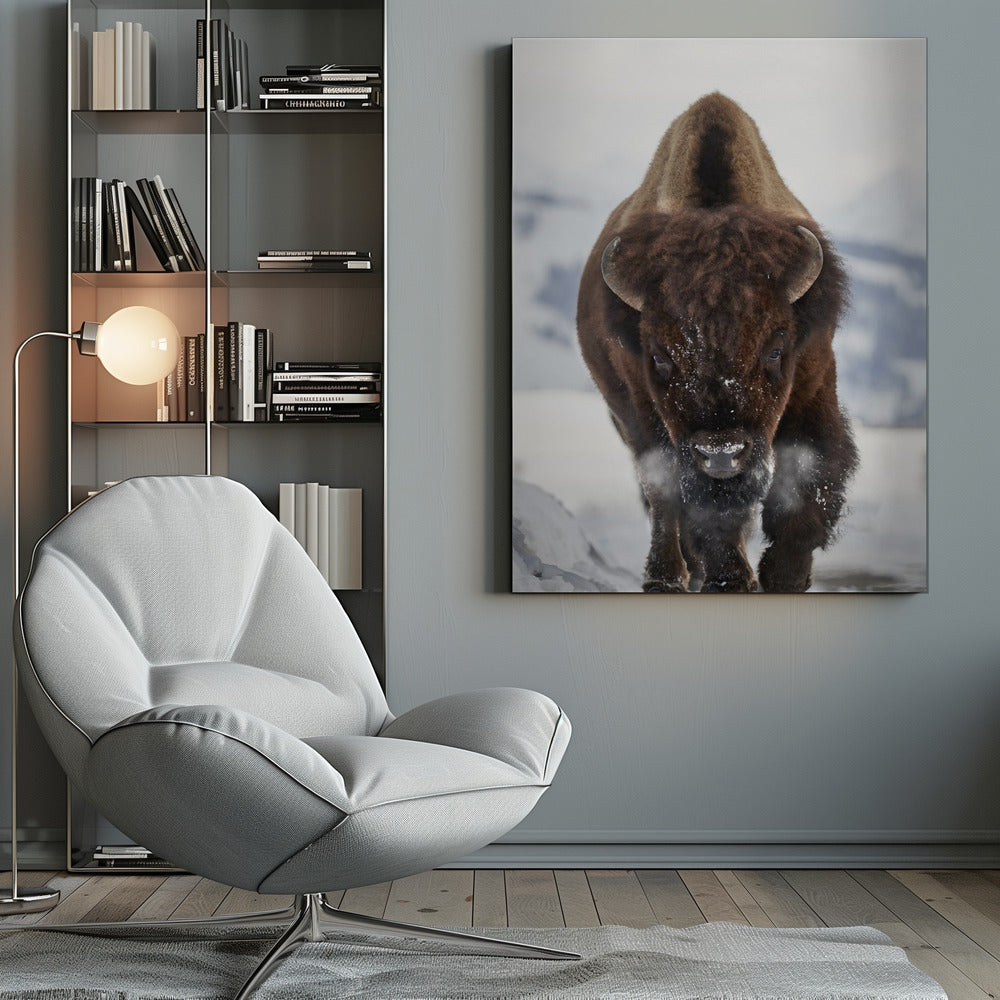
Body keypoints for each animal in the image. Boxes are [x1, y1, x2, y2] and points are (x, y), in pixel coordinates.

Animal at [577, 93, 858, 593]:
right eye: (659, 356)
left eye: (776, 349)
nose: (721, 454)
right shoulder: (648, 415)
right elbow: (693, 504)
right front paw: (730, 579)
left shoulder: (813, 384)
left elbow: (807, 477)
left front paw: (784, 576)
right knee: (663, 499)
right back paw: (666, 578)